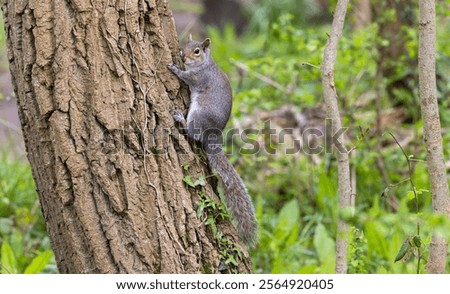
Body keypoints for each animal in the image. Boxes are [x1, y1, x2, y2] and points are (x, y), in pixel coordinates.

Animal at [168, 35, 258, 247]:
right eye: (184, 45)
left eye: (197, 51)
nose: (182, 57)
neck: (204, 64)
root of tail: (213, 135)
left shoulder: (198, 77)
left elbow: (185, 77)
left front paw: (175, 68)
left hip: (198, 114)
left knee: (193, 133)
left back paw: (180, 119)